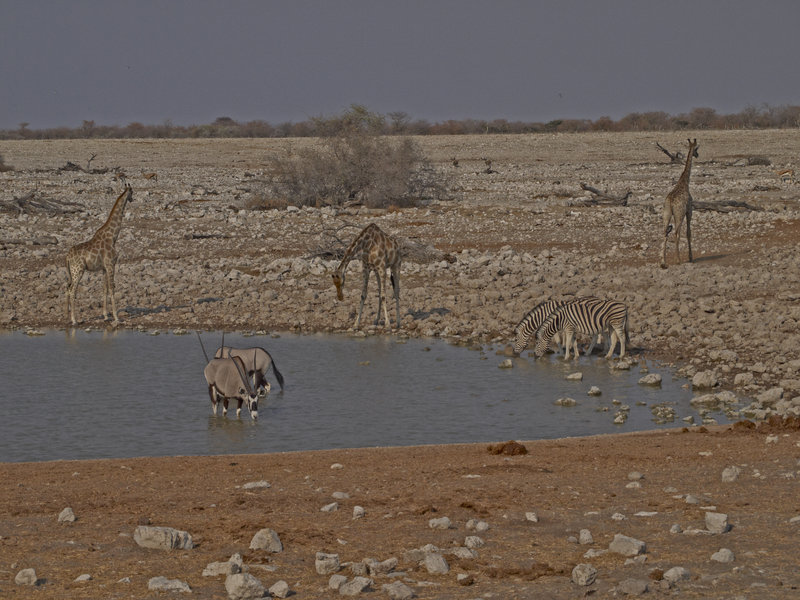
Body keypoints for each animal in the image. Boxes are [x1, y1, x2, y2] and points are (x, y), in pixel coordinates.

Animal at [65, 184, 134, 326]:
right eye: (132, 191)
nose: (132, 199)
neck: (112, 236)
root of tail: (67, 257)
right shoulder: (111, 264)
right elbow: (112, 288)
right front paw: (116, 317)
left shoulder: (103, 268)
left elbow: (104, 289)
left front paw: (106, 316)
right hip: (77, 271)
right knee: (72, 290)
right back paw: (74, 320)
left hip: (71, 272)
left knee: (67, 288)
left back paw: (66, 316)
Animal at [660, 138, 699, 269]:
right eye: (696, 148)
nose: (697, 155)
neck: (685, 182)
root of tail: (671, 202)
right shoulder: (689, 211)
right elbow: (688, 233)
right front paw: (691, 257)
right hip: (679, 214)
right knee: (676, 233)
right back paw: (678, 260)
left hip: (666, 214)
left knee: (664, 233)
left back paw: (663, 262)